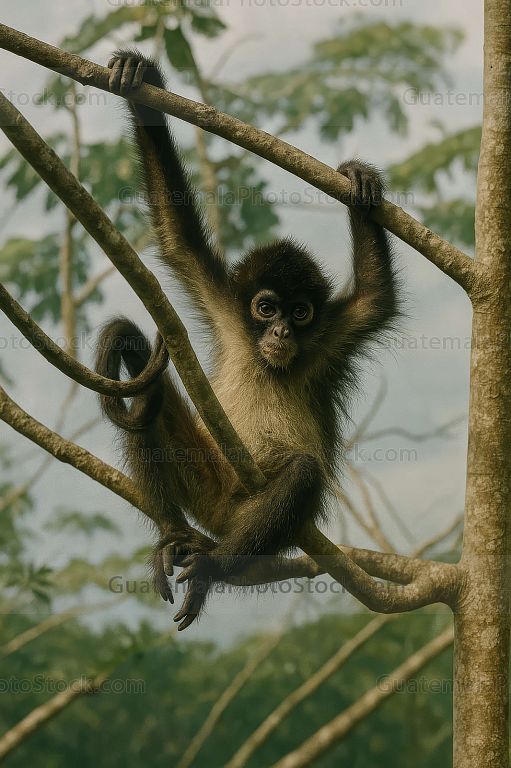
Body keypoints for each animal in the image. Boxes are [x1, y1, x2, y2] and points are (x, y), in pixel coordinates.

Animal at [95, 51, 398, 631]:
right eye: (266, 308)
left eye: (300, 313)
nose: (280, 331)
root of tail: (221, 518)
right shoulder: (228, 310)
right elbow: (177, 237)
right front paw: (141, 81)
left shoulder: (329, 337)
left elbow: (374, 300)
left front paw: (360, 185)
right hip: (207, 477)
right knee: (147, 388)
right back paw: (172, 536)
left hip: (242, 507)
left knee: (301, 473)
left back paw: (212, 565)